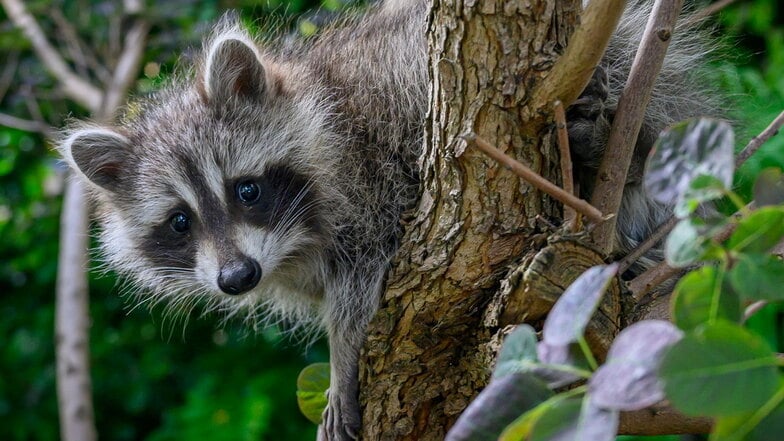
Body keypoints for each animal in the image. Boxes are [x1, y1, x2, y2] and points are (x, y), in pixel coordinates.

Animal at [55, 0, 716, 440]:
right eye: (179, 222)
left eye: (247, 189)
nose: (238, 278)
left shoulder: (369, 176)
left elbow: (361, 283)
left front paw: (341, 360)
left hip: (621, 64)